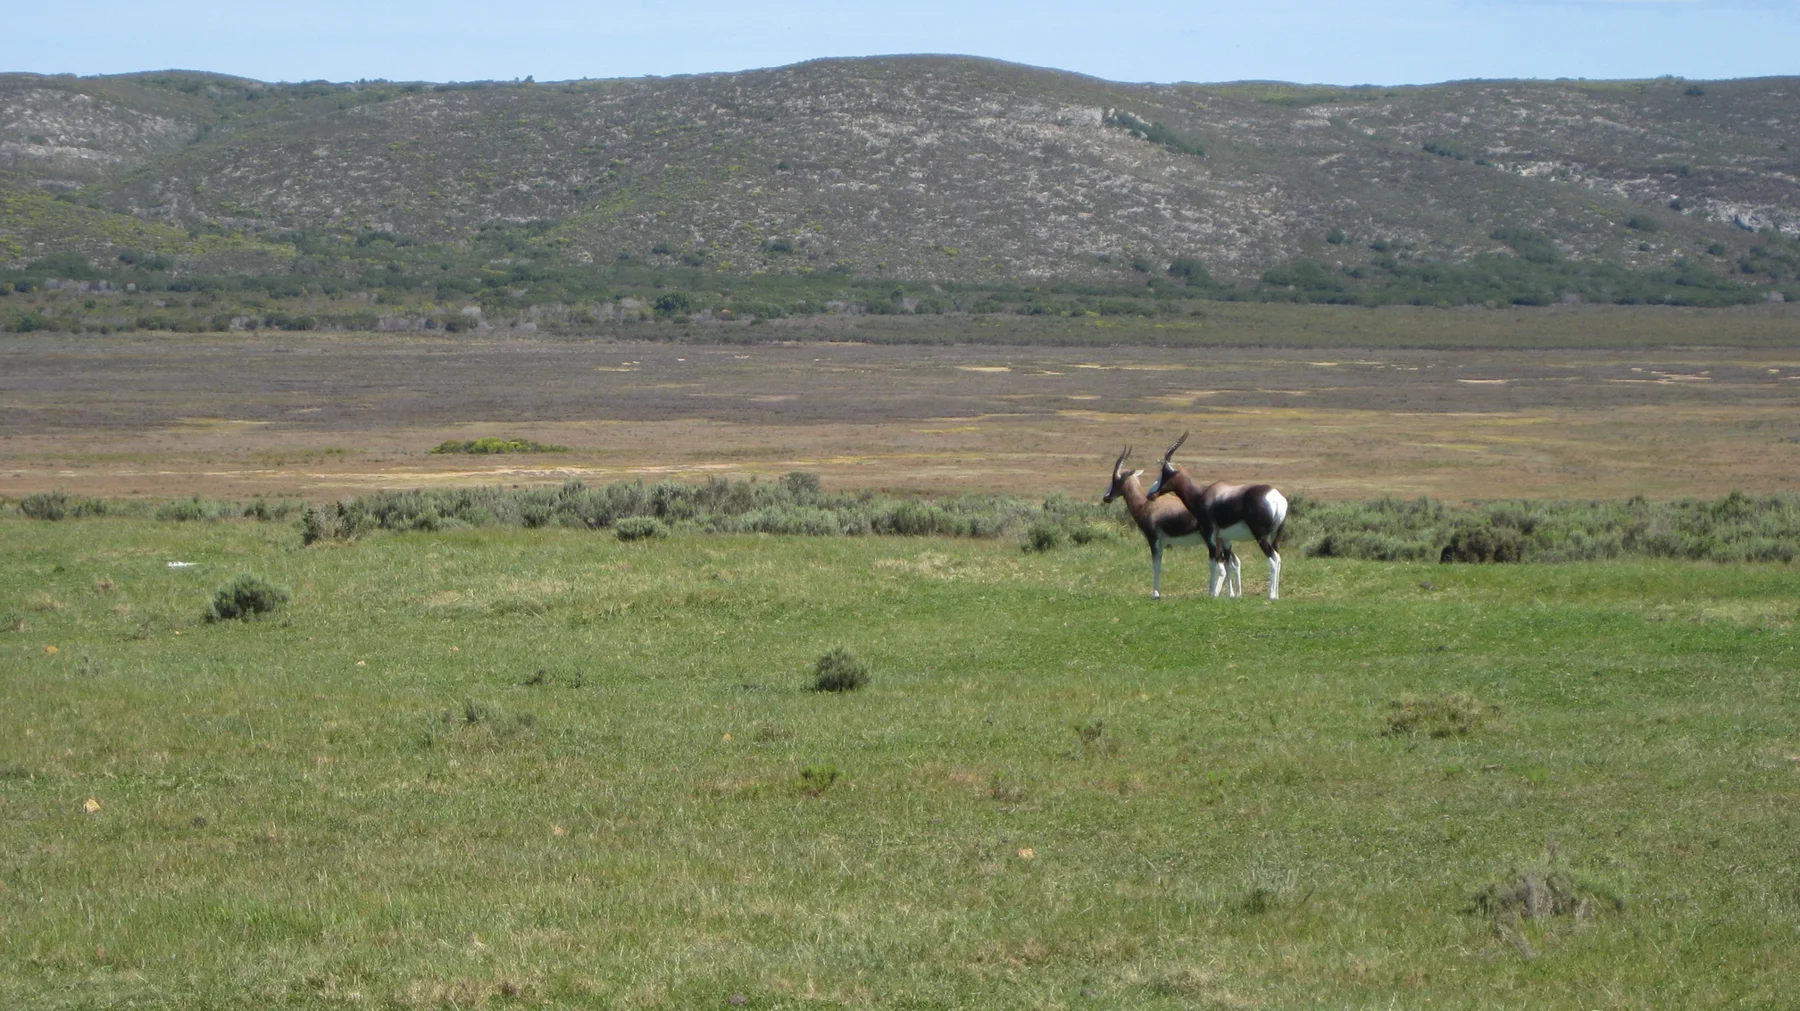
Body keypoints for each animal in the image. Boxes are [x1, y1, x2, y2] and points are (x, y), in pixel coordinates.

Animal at [1101, 445, 1224, 599]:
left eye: (1115, 479)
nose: (1106, 497)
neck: (1146, 503)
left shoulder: (1153, 539)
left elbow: (1156, 565)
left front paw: (1155, 594)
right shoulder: (1161, 543)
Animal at [1145, 432, 1289, 600]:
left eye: (1164, 473)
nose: (1150, 495)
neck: (1203, 494)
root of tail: (1277, 498)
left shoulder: (1210, 534)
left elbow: (1213, 561)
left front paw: (1212, 593)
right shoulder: (1226, 537)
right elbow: (1227, 563)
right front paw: (1230, 595)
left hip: (1261, 536)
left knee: (1273, 559)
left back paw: (1271, 595)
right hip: (1275, 536)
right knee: (1278, 557)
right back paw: (1277, 594)